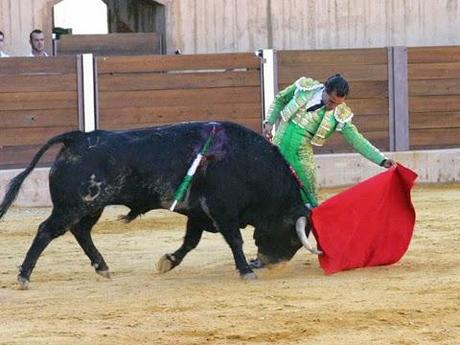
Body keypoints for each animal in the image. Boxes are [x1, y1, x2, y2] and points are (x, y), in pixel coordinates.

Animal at [0, 121, 318, 288]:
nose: (271, 264)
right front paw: (245, 270)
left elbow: (190, 242)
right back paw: (24, 275)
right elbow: (235, 240)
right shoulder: (221, 210)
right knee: (46, 231)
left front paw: (168, 261)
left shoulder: (198, 213)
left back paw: (102, 267)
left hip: (91, 206)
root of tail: (77, 137)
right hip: (73, 205)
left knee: (81, 232)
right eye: (294, 238)